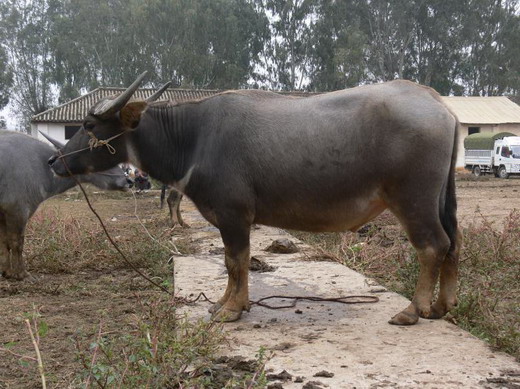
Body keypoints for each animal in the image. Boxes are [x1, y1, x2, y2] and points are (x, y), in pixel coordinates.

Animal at [0, 130, 130, 278]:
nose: (129, 181)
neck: (41, 167)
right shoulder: (18, 211)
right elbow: (16, 243)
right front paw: (21, 274)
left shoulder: (3, 214)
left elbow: (4, 242)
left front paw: (7, 272)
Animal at [50, 73, 462, 324]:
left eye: (88, 125)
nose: (54, 161)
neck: (193, 138)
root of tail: (439, 105)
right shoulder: (227, 218)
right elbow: (230, 262)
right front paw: (223, 302)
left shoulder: (234, 215)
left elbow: (236, 260)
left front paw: (232, 309)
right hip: (441, 201)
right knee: (453, 243)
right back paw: (442, 305)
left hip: (413, 200)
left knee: (433, 246)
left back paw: (414, 309)